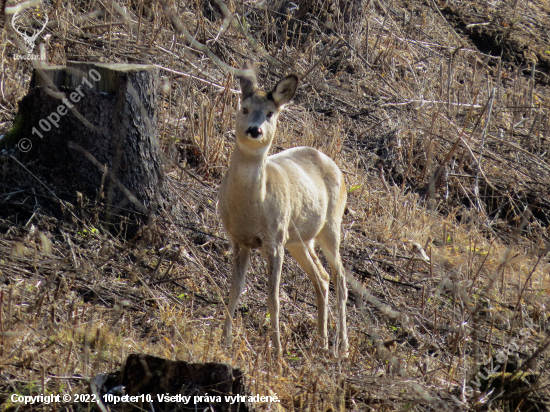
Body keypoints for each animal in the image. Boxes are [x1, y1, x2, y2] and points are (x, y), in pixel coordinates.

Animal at [220, 68, 350, 358]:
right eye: (244, 108)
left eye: (270, 113)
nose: (254, 129)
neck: (251, 207)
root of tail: (334, 164)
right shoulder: (239, 240)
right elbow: (234, 290)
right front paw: (223, 341)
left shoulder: (274, 240)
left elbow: (273, 297)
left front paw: (277, 353)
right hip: (298, 240)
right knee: (322, 277)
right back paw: (322, 340)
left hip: (330, 226)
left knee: (340, 277)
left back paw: (343, 347)